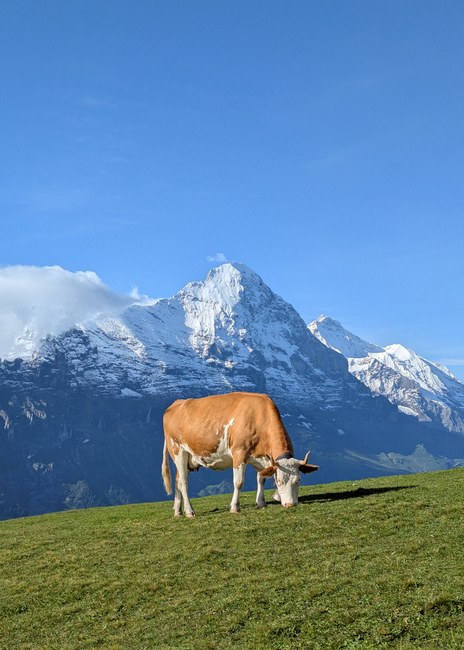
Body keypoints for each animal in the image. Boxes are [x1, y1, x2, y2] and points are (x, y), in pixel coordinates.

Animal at [161, 392, 318, 517]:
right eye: (278, 481)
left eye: (298, 480)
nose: (291, 505)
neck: (259, 418)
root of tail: (176, 404)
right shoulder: (239, 452)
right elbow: (238, 482)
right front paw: (235, 507)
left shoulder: (263, 458)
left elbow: (261, 479)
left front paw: (261, 503)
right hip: (178, 450)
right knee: (183, 481)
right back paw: (189, 511)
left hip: (189, 458)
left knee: (177, 479)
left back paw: (178, 511)